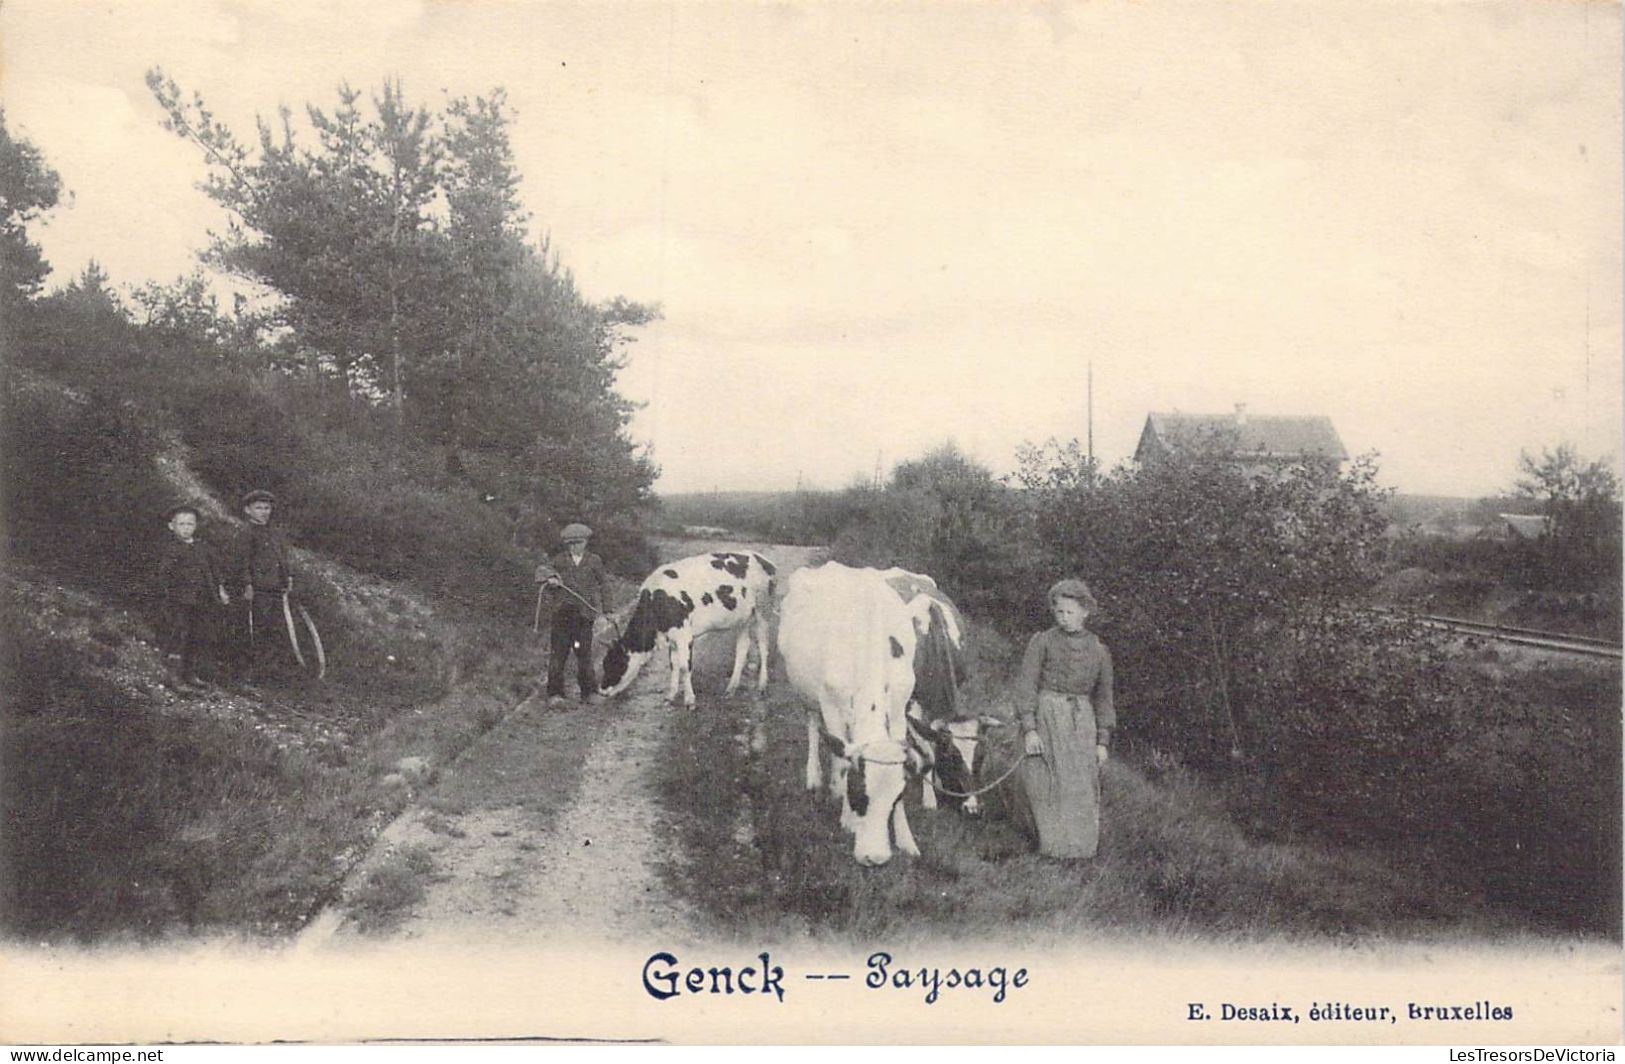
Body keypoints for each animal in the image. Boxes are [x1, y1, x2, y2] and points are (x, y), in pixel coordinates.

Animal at [601, 549, 776, 708]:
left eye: (616, 663)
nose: (601, 691)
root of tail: (763, 559)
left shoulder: (684, 636)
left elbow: (685, 667)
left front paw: (689, 700)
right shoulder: (672, 637)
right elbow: (673, 665)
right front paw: (670, 696)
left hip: (763, 610)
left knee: (763, 646)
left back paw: (762, 685)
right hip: (742, 619)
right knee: (742, 647)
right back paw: (731, 688)